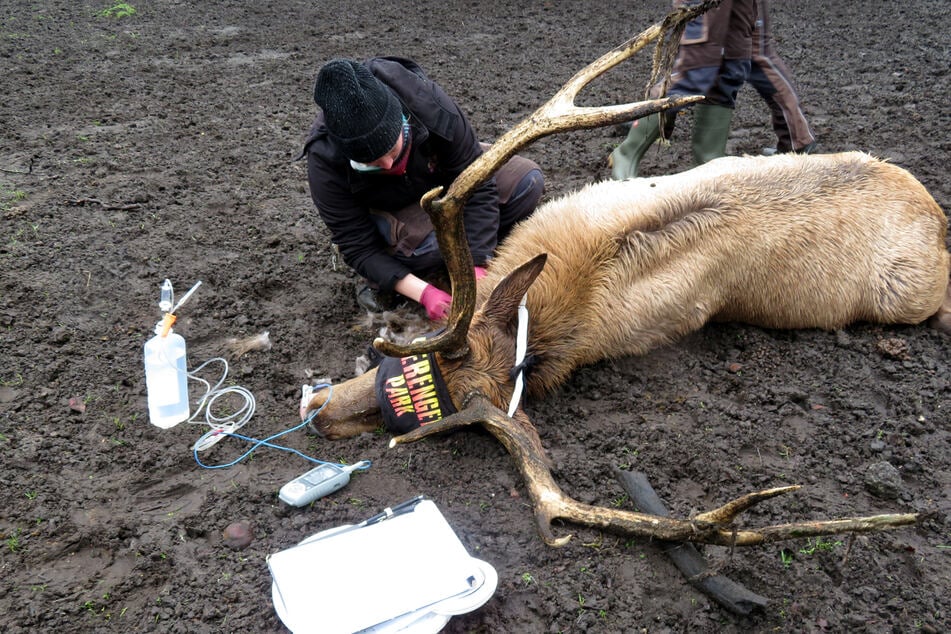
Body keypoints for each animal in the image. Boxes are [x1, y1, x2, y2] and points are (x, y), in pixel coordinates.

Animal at [302, 1, 948, 544]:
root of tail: (938, 217)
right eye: (420, 352)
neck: (565, 280)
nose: (318, 411)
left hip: (909, 297)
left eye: (449, 417)